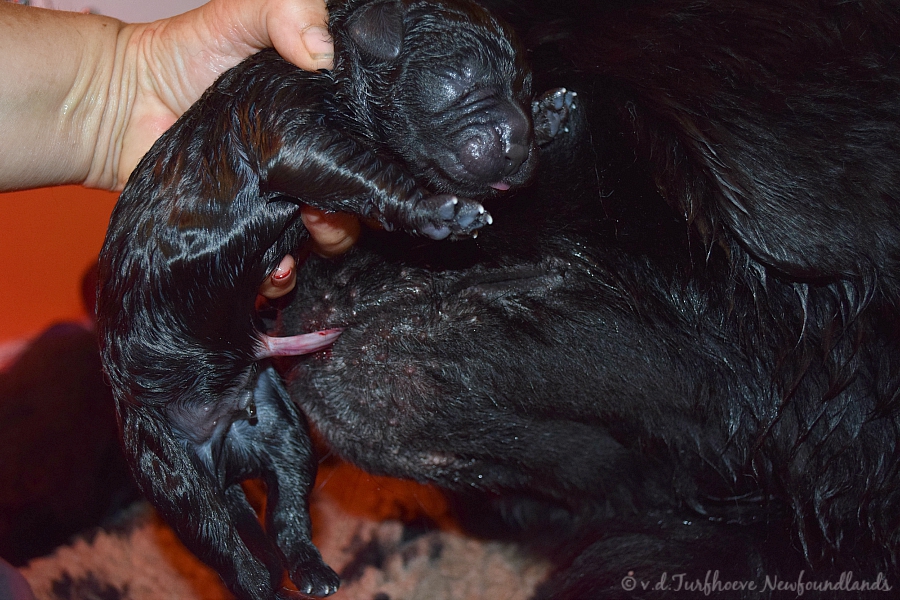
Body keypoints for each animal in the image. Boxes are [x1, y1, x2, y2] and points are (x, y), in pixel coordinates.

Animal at [96, 0, 572, 597]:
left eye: (524, 85)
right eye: (467, 81)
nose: (521, 141)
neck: (341, 74)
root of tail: (221, 452)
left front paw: (549, 115)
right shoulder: (290, 127)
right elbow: (376, 170)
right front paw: (437, 208)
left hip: (282, 427)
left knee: (287, 512)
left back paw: (312, 570)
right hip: (168, 467)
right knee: (228, 551)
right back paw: (267, 585)